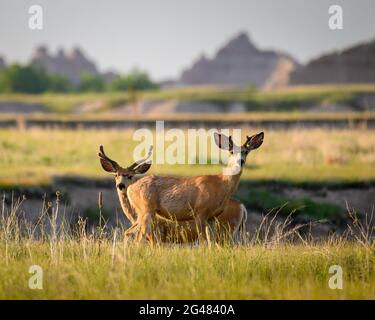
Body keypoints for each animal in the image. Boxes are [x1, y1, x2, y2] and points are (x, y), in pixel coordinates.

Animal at [98, 131, 266, 241]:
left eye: (246, 151)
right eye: (231, 151)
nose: (240, 161)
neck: (221, 183)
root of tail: (242, 207)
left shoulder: (210, 218)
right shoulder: (200, 213)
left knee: (132, 234)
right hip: (147, 211)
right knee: (136, 236)